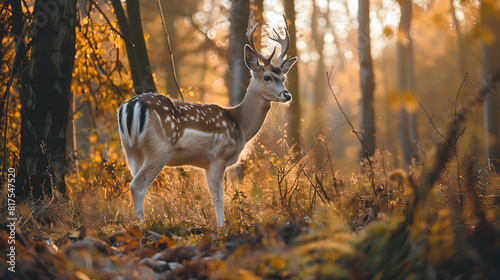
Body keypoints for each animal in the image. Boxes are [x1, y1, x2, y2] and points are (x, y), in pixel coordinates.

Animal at [117, 13, 296, 228]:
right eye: (267, 77)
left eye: (284, 77)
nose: (287, 95)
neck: (241, 124)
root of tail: (129, 107)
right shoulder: (219, 156)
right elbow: (219, 197)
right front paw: (221, 227)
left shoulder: (205, 163)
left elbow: (212, 195)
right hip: (159, 149)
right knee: (137, 185)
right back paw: (142, 226)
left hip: (130, 150)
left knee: (134, 180)